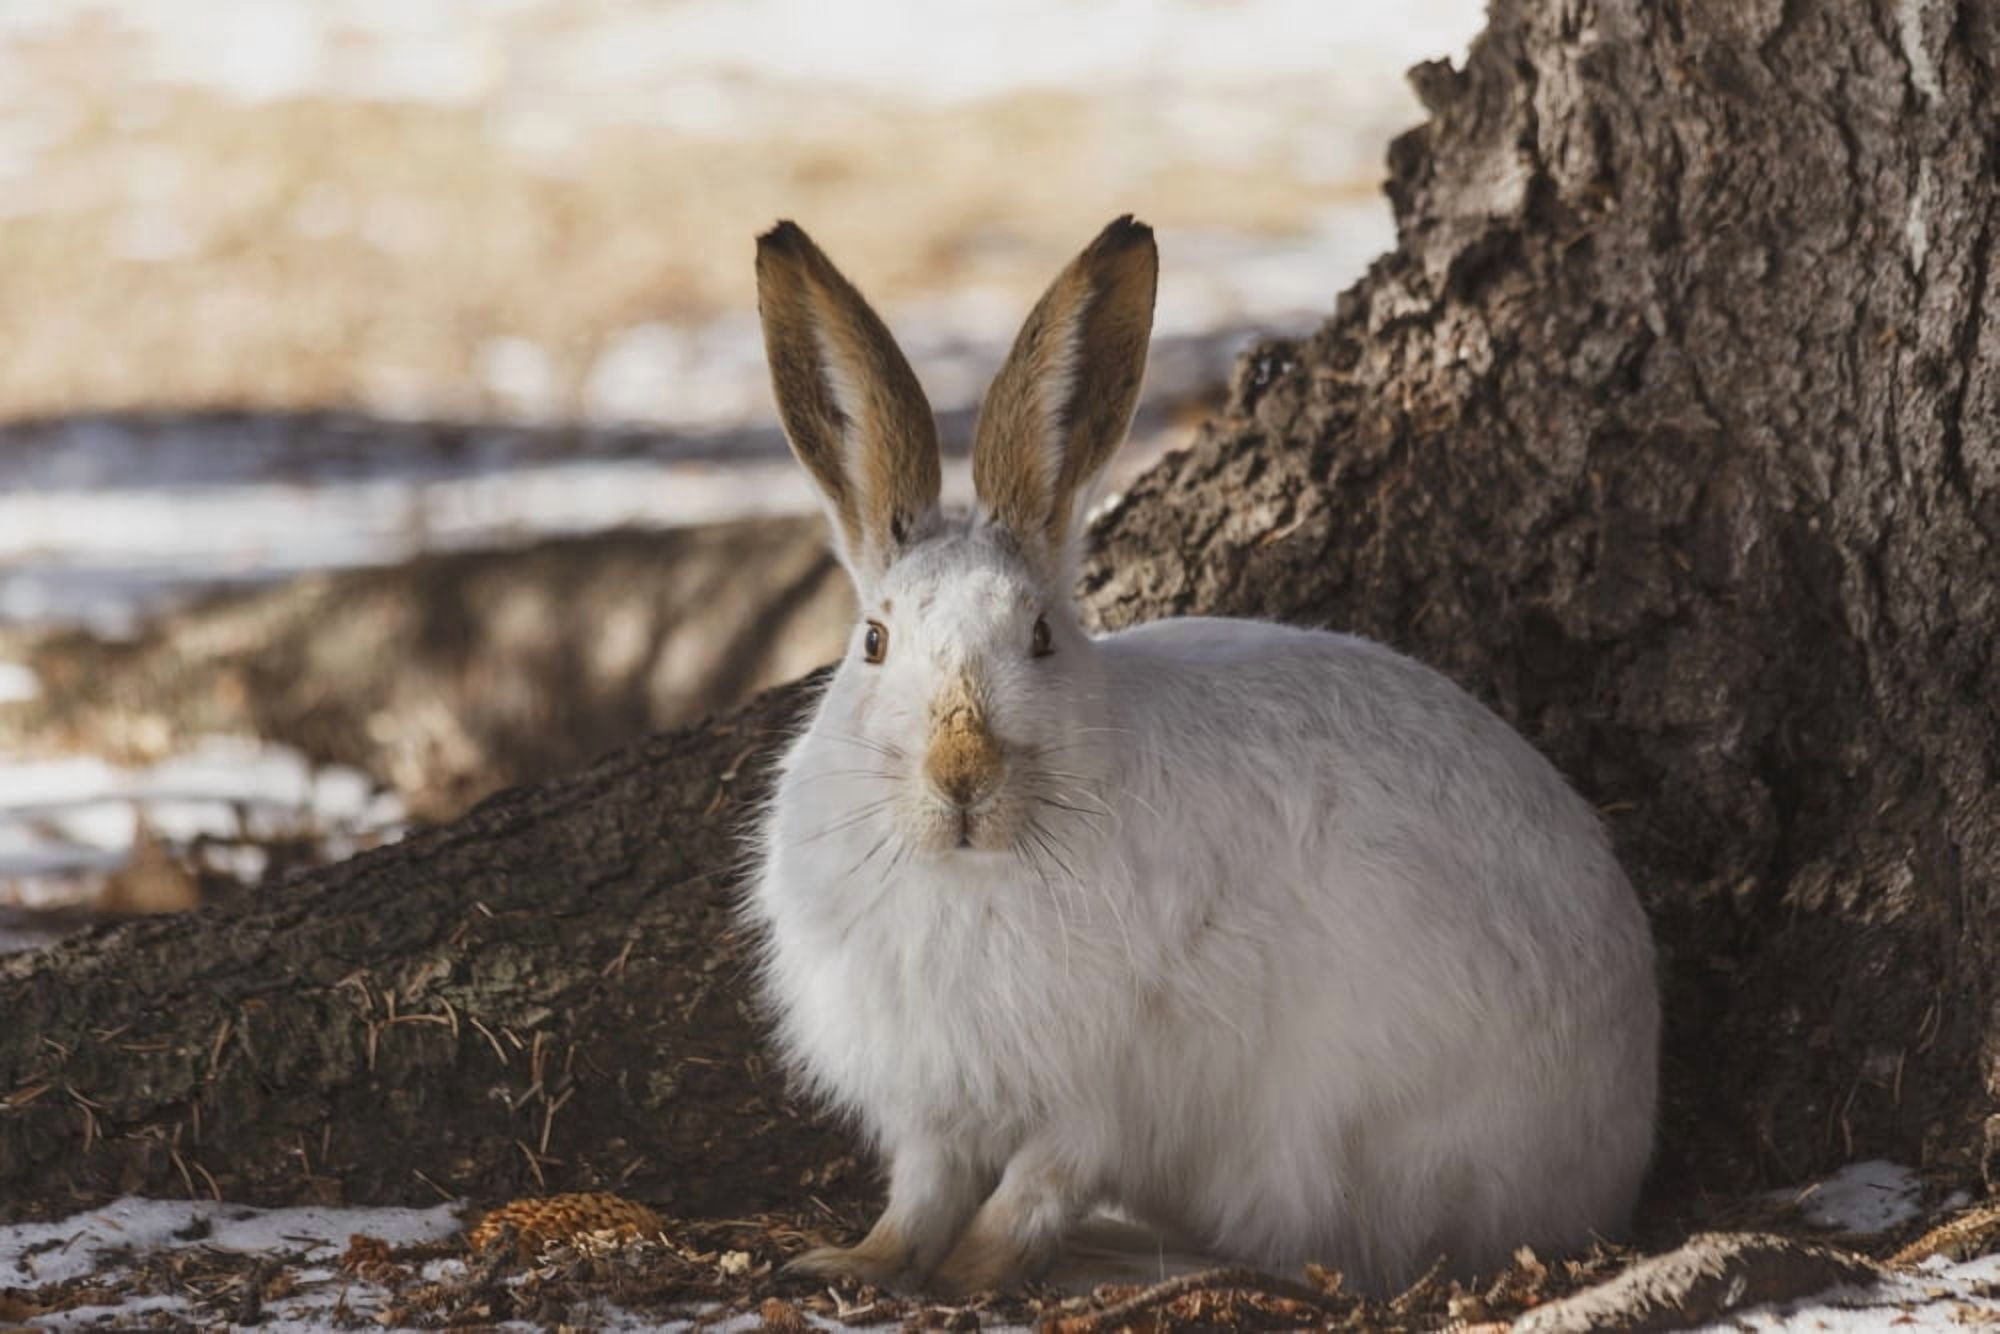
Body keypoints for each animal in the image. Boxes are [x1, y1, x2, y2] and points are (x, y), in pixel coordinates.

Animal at [744, 215, 1659, 1298]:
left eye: (1041, 636)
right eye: (874, 642)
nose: (961, 774)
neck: (972, 865)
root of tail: (1621, 1154)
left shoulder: (1110, 1085)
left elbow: (1036, 1183)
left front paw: (973, 1273)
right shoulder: (936, 1095)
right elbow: (922, 1190)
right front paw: (855, 1259)